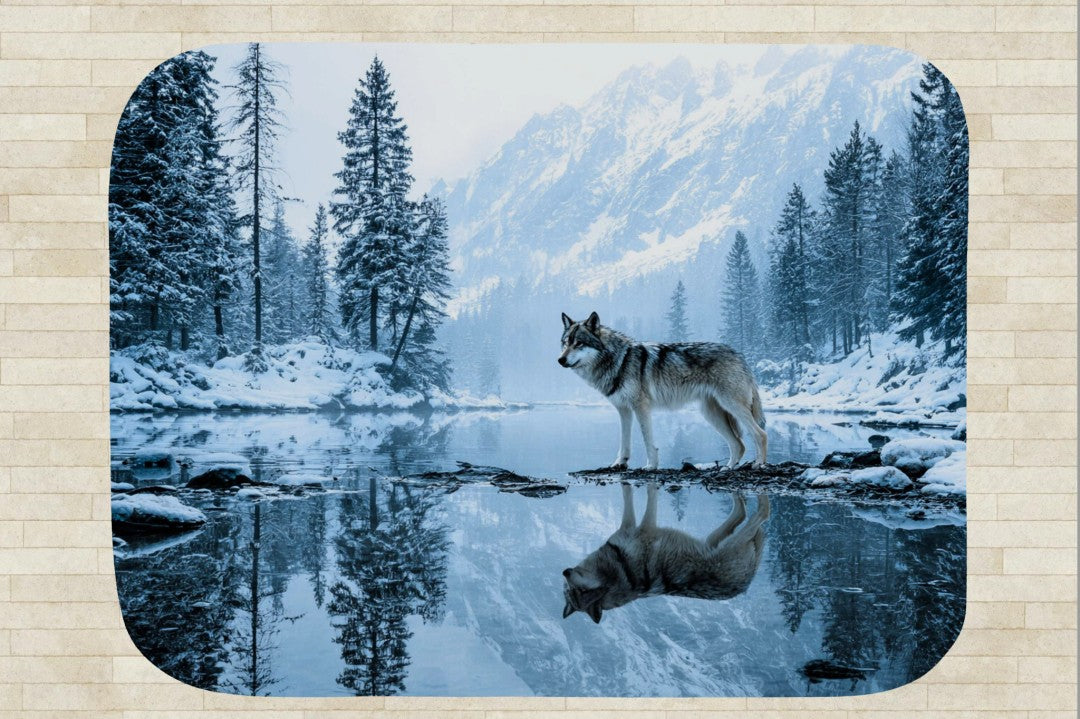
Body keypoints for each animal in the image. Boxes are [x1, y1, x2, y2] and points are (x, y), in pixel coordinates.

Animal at [559, 311, 767, 469]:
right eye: (566, 343)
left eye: (579, 343)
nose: (560, 360)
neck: (619, 360)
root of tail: (739, 355)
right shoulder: (624, 410)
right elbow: (624, 441)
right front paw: (620, 463)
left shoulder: (641, 407)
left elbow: (647, 440)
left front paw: (651, 466)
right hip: (711, 414)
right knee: (738, 444)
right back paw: (728, 468)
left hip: (731, 407)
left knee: (760, 434)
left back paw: (759, 464)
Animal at [562, 482, 770, 623]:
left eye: (575, 590)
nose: (565, 572)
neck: (620, 570)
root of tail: (746, 582)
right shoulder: (641, 527)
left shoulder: (638, 526)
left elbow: (636, 494)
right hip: (720, 540)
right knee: (755, 515)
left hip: (719, 539)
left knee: (751, 513)